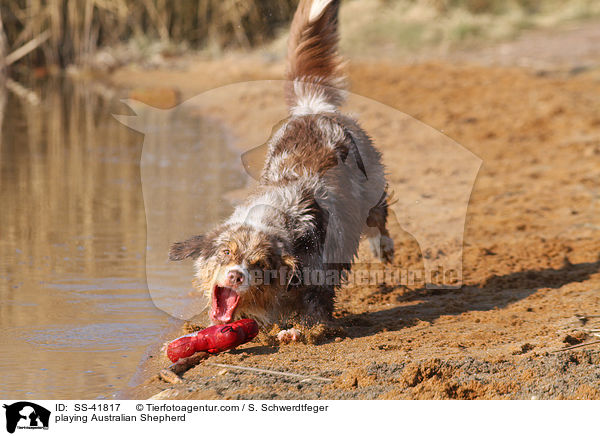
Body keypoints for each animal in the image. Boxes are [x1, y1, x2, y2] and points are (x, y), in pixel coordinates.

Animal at [168, 0, 394, 340]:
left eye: (259, 264)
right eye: (226, 253)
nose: (235, 276)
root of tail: (312, 107)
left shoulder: (319, 276)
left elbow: (315, 310)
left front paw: (301, 331)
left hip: (372, 185)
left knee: (379, 218)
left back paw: (383, 247)